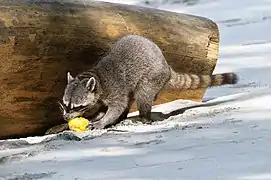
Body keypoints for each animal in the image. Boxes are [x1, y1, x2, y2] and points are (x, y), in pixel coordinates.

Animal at [60, 34, 239, 129]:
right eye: (66, 104)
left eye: (76, 106)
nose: (66, 117)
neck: (97, 78)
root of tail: (167, 67)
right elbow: (99, 107)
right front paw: (95, 116)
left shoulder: (115, 88)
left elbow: (117, 106)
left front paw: (103, 121)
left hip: (151, 77)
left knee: (142, 95)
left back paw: (143, 117)